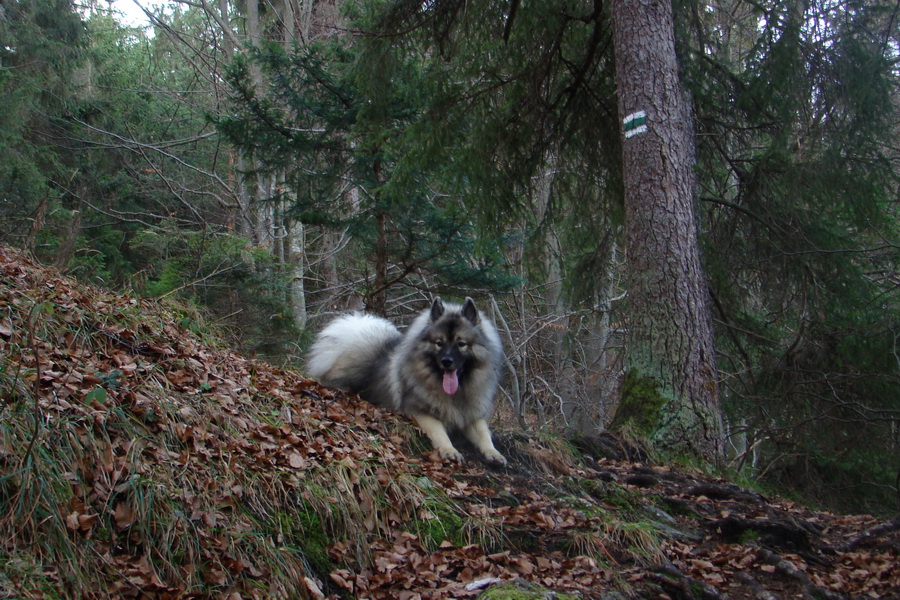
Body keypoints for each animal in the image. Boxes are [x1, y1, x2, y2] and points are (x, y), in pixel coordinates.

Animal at [308, 298, 506, 466]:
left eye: (461, 344)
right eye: (439, 343)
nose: (447, 361)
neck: (456, 393)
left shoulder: (472, 414)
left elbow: (484, 434)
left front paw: (494, 453)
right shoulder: (419, 411)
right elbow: (439, 432)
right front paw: (450, 450)